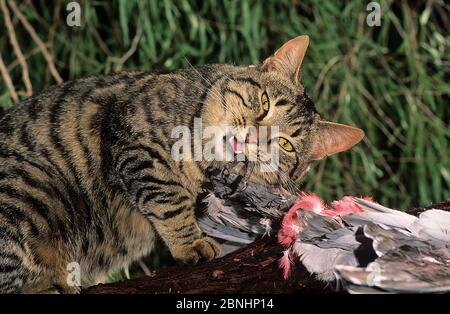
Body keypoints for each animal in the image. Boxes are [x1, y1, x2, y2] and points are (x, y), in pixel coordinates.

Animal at [0, 35, 362, 294]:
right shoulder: (137, 143)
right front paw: (191, 243)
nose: (252, 137)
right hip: (32, 192)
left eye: (285, 144)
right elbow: (169, 200)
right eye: (264, 103)